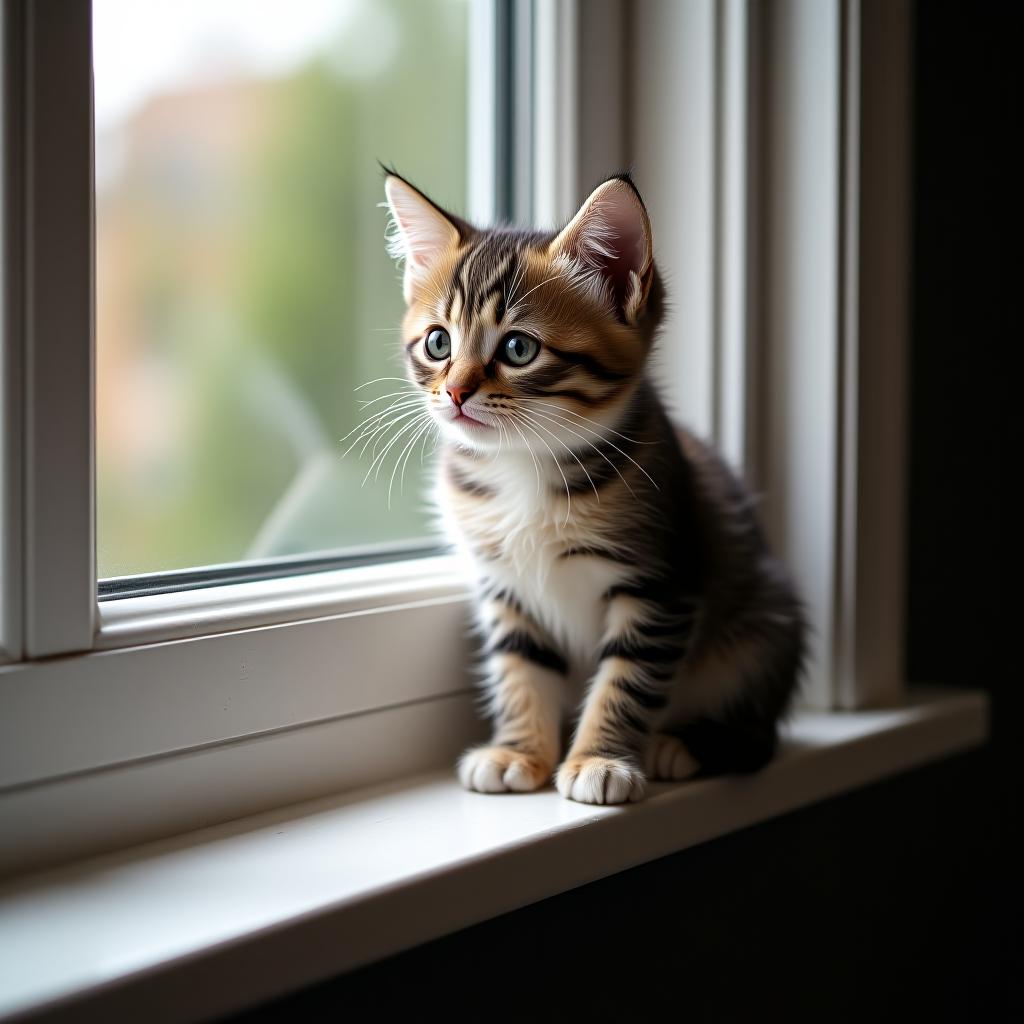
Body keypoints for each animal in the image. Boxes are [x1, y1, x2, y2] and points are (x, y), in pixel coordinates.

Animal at [380, 172, 802, 802]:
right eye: (438, 343)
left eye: (518, 348)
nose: (454, 393)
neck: (522, 465)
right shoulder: (505, 588)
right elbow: (519, 666)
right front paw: (520, 751)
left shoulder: (662, 581)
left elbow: (627, 678)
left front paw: (599, 760)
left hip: (765, 625)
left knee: (759, 728)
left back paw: (684, 744)